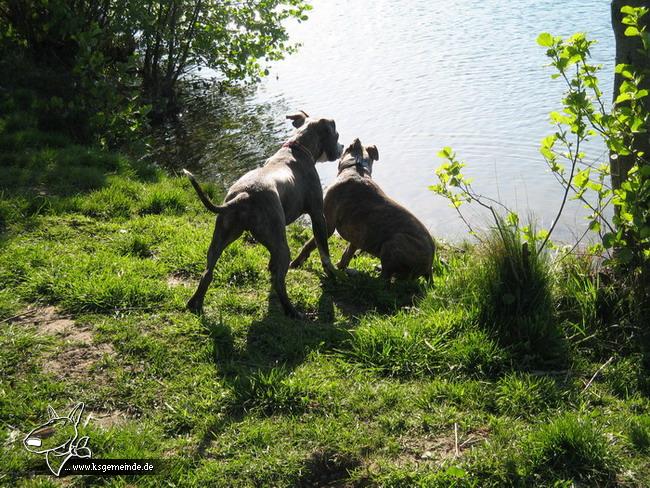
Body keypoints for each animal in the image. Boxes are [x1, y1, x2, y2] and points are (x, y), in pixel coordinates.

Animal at [185, 110, 342, 316]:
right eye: (337, 135)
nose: (342, 147)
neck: (297, 148)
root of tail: (244, 195)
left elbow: (272, 262)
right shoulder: (318, 216)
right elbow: (324, 250)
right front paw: (331, 273)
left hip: (221, 237)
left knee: (207, 273)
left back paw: (194, 304)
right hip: (281, 246)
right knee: (279, 283)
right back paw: (293, 312)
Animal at [290, 139, 432, 280]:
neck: (357, 167)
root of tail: (429, 267)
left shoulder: (326, 223)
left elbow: (308, 245)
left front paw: (294, 263)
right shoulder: (357, 237)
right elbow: (347, 254)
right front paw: (339, 267)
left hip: (394, 243)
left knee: (384, 280)